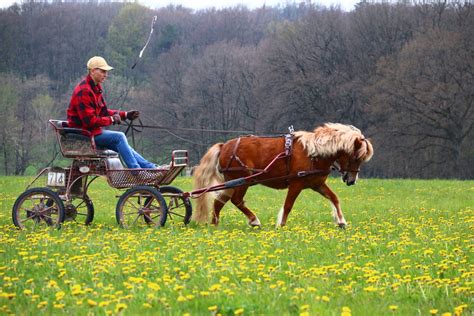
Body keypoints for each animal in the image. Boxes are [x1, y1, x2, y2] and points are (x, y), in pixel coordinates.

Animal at [192, 122, 374, 228]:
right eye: (356, 157)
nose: (351, 180)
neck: (313, 153)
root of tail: (224, 146)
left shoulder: (317, 184)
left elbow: (334, 198)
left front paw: (341, 221)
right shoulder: (296, 184)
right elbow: (288, 205)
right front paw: (281, 225)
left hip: (233, 182)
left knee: (219, 201)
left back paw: (215, 224)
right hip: (242, 181)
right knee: (236, 200)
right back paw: (254, 220)